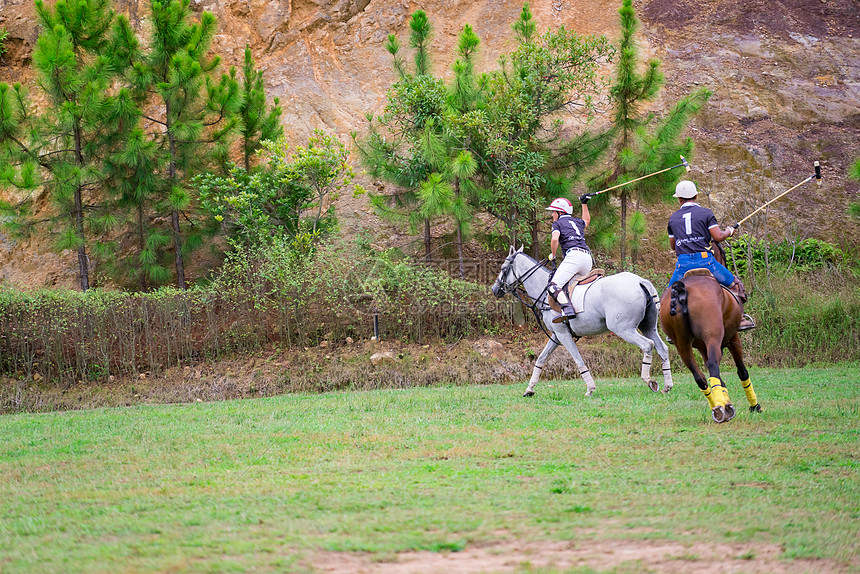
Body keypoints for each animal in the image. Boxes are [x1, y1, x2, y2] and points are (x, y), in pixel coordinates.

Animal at [490, 248, 672, 400]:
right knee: (662, 348)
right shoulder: (557, 335)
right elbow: (541, 359)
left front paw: (590, 389)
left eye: (503, 268)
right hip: (647, 327)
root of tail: (640, 281)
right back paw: (667, 386)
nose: (494, 289)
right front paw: (529, 389)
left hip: (623, 329)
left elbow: (578, 360)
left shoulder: (563, 335)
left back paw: (649, 381)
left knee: (648, 345)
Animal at [660, 243, 764, 424]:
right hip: (713, 335)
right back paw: (723, 408)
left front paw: (725, 401)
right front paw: (754, 406)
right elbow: (741, 371)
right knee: (713, 365)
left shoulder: (702, 347)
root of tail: (683, 290)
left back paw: (717, 408)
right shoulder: (733, 338)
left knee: (699, 376)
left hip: (681, 343)